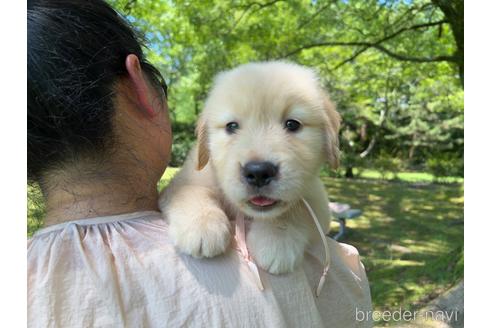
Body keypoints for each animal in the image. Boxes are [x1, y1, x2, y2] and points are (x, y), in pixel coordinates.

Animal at [160, 61, 340, 274]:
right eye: (231, 126)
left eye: (292, 124)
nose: (259, 172)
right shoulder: (183, 180)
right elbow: (191, 191)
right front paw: (201, 225)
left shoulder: (317, 198)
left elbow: (295, 210)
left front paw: (276, 240)